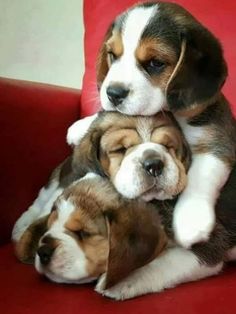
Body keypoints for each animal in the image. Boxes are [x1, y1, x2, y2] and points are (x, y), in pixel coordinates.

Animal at [68, 1, 236, 249]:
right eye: (112, 55)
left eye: (155, 63)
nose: (113, 93)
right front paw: (82, 126)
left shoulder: (218, 142)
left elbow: (201, 175)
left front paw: (191, 220)